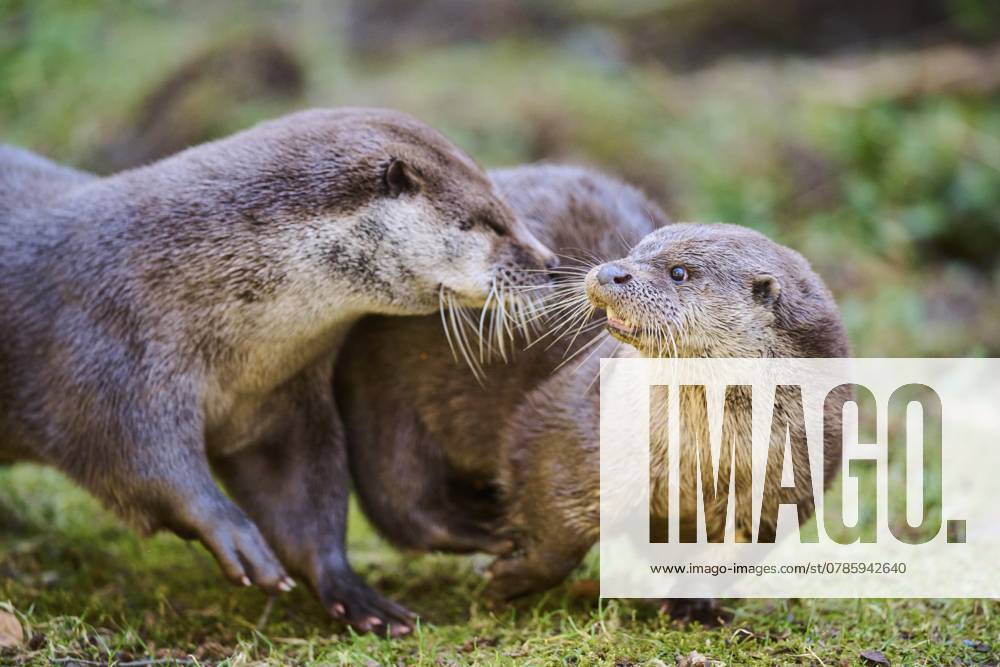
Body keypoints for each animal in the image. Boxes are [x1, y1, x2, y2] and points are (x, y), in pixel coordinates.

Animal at [0, 108, 555, 635]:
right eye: (488, 222)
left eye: (509, 209)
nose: (550, 264)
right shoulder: (106, 347)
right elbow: (132, 457)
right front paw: (232, 533)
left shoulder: (279, 398)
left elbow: (299, 492)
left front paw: (351, 590)